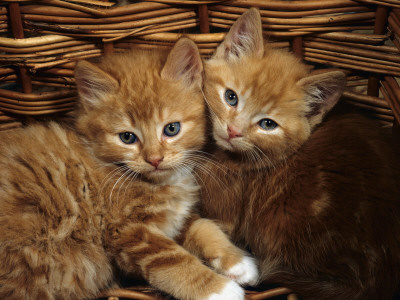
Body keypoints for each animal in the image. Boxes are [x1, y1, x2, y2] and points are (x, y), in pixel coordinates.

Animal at [0, 38, 258, 298]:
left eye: (171, 129)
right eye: (127, 137)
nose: (154, 159)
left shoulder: (175, 221)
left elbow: (203, 226)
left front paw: (239, 263)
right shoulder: (127, 232)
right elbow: (171, 259)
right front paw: (219, 289)